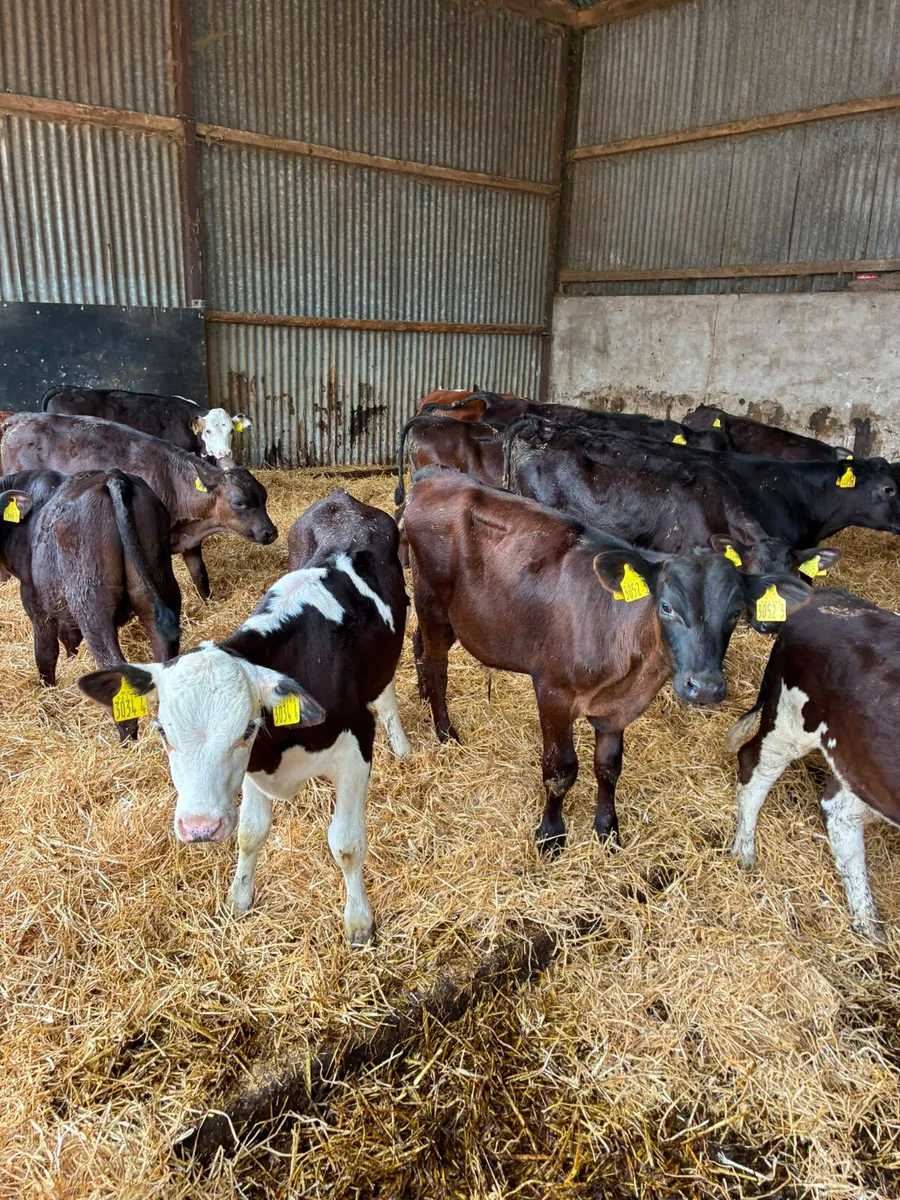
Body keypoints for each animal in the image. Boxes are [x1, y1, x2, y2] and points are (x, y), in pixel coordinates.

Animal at [0, 467, 180, 740]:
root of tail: (112, 475)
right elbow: (68, 637)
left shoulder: (35, 601)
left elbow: (45, 653)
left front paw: (47, 694)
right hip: (160, 578)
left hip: (91, 603)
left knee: (112, 664)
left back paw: (127, 738)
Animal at [1, 413, 276, 599]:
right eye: (239, 502)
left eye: (264, 496)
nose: (271, 532)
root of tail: (19, 419)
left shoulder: (191, 539)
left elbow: (200, 575)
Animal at [77, 489, 410, 945]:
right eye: (162, 732)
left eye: (248, 728)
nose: (200, 828)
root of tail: (343, 499)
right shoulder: (253, 768)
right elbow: (251, 833)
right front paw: (239, 898)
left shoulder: (356, 743)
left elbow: (346, 843)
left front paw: (358, 921)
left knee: (387, 688)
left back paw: (402, 745)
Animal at [403, 468, 809, 852]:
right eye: (666, 606)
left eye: (735, 613)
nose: (705, 687)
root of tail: (434, 477)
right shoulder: (553, 692)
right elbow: (560, 771)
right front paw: (551, 835)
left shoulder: (617, 710)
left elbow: (609, 768)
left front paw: (607, 829)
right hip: (431, 600)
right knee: (437, 663)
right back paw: (445, 730)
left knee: (418, 645)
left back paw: (423, 698)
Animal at [726, 589, 899, 944]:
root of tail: (826, 596)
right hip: (790, 721)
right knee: (753, 767)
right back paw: (744, 852)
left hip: (860, 762)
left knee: (839, 811)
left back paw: (868, 924)